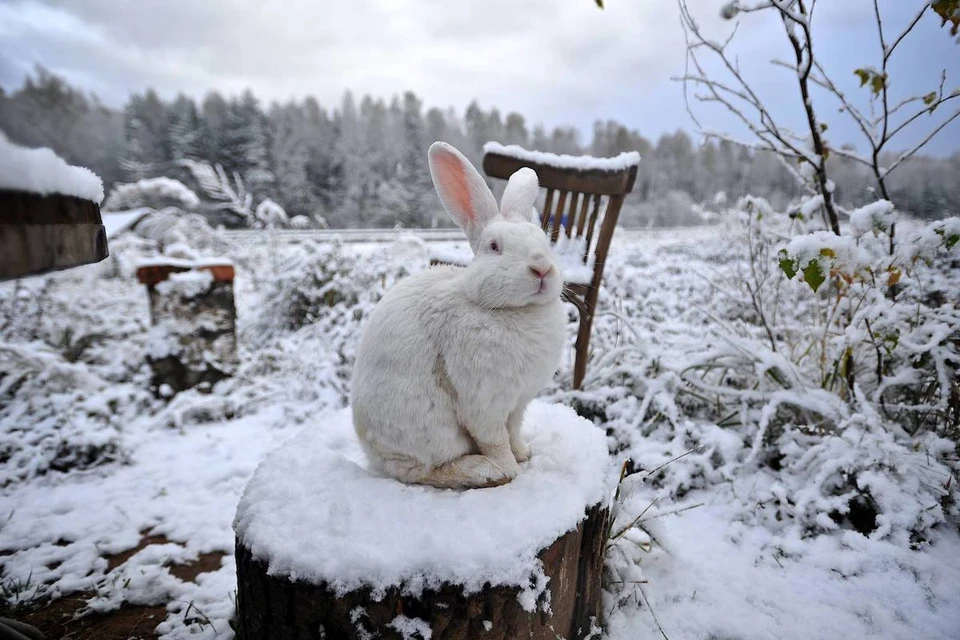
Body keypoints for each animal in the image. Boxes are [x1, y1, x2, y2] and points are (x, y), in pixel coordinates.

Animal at [350, 142, 564, 488]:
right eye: (494, 246)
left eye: (544, 241)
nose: (542, 268)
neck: (511, 311)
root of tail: (372, 453)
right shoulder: (484, 402)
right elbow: (495, 440)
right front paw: (511, 470)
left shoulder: (517, 404)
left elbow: (513, 431)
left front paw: (524, 453)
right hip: (430, 430)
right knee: (422, 470)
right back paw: (483, 471)